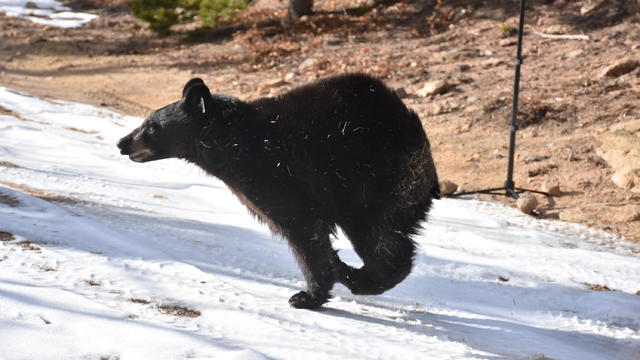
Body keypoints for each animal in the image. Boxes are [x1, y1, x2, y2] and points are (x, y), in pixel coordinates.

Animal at [117, 74, 440, 310]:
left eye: (150, 127)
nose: (122, 143)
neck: (231, 143)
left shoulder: (278, 176)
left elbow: (303, 231)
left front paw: (307, 295)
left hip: (374, 181)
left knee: (380, 237)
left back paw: (355, 275)